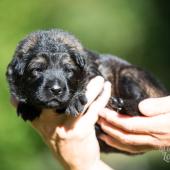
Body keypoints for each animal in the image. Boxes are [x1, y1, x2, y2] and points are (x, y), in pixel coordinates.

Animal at [5, 28, 168, 153]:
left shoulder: (97, 76)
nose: (56, 90)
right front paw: (27, 106)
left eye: (68, 70)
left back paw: (123, 105)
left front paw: (75, 100)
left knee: (143, 102)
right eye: (37, 70)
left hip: (129, 74)